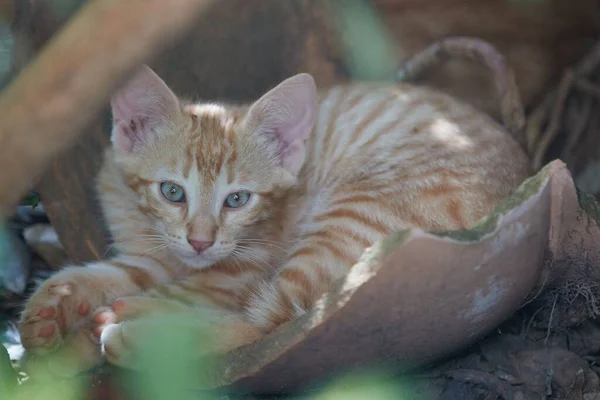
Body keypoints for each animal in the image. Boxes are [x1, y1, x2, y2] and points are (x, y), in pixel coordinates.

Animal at [19, 65, 528, 368]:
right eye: (172, 192)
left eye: (237, 200)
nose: (201, 241)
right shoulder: (152, 254)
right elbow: (108, 272)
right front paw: (51, 308)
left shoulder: (236, 270)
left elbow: (181, 292)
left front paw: (74, 347)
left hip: (356, 208)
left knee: (266, 323)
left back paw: (134, 334)